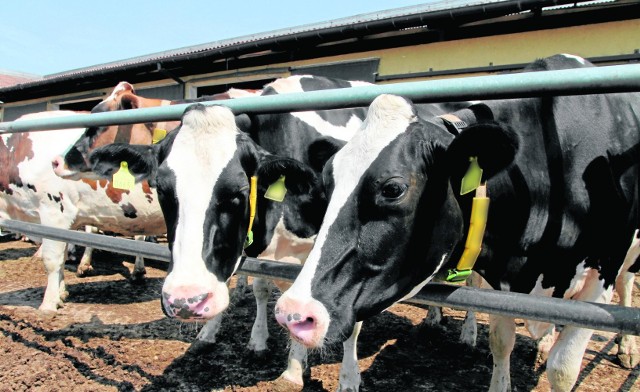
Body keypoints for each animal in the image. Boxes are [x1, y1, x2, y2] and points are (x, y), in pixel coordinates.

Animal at [276, 55, 640, 392]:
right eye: (327, 185)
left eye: (393, 189)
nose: (294, 313)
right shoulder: (502, 281)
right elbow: (501, 341)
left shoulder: (600, 279)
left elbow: (563, 369)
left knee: (626, 285)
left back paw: (625, 349)